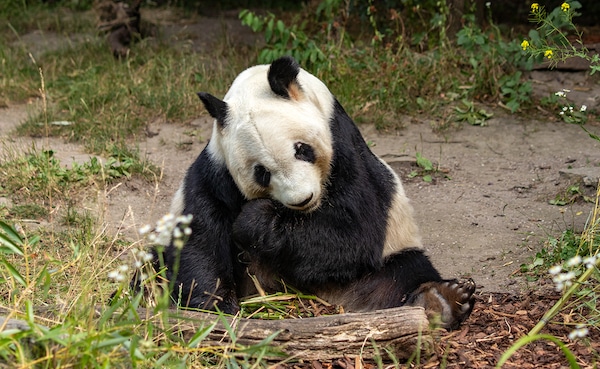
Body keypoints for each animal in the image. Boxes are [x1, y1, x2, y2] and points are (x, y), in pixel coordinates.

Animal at [162, 56, 476, 330]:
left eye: (302, 149)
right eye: (261, 172)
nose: (303, 200)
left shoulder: (345, 149)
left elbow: (353, 234)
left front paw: (255, 220)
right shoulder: (216, 168)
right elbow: (201, 235)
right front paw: (214, 306)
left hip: (390, 254)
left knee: (404, 273)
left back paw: (442, 301)